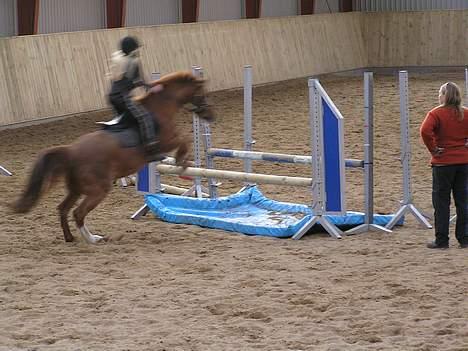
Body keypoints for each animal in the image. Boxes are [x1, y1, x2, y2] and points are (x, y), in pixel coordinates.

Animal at [11, 71, 215, 245]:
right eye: (202, 94)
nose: (211, 116)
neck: (161, 106)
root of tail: (71, 151)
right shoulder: (166, 141)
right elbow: (184, 139)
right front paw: (182, 161)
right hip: (98, 190)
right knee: (78, 212)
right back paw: (93, 239)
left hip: (76, 189)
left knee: (63, 208)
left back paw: (70, 238)